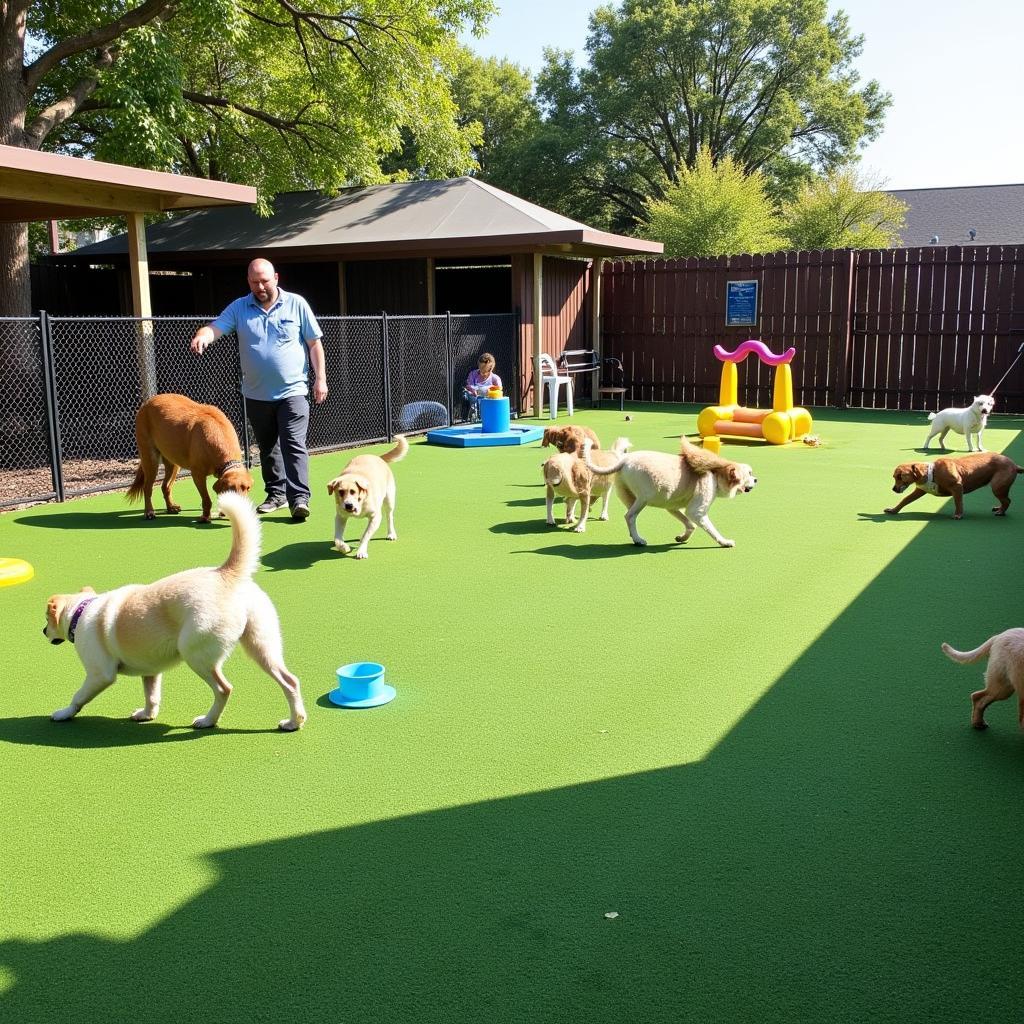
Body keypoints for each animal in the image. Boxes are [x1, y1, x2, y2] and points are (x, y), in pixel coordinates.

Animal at [126, 389, 253, 524]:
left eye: (247, 488)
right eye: (231, 489)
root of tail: (147, 402)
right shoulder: (197, 475)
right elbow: (206, 499)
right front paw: (205, 517)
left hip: (174, 463)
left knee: (165, 486)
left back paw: (171, 507)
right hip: (150, 460)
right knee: (147, 488)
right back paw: (149, 512)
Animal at [327, 432, 407, 561]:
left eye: (353, 491)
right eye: (340, 492)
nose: (348, 505)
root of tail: (378, 457)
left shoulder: (375, 517)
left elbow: (365, 535)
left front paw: (361, 551)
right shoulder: (340, 516)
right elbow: (337, 539)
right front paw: (344, 547)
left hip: (389, 500)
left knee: (389, 517)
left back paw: (391, 534)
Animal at [581, 436, 757, 548]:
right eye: (749, 473)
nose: (756, 480)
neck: (716, 473)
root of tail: (624, 460)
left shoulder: (672, 508)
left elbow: (690, 525)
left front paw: (683, 537)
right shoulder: (697, 511)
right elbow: (710, 529)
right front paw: (724, 542)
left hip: (629, 497)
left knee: (630, 517)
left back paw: (634, 536)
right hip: (643, 498)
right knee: (629, 516)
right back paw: (638, 540)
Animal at [884, 452, 1019, 520]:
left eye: (900, 476)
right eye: (894, 477)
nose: (894, 489)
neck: (932, 471)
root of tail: (1015, 465)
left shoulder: (957, 487)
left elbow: (958, 502)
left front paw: (958, 514)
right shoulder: (920, 490)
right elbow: (905, 500)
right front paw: (894, 510)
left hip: (997, 487)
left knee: (1007, 500)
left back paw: (1001, 512)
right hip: (1000, 488)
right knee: (1005, 500)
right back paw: (999, 508)